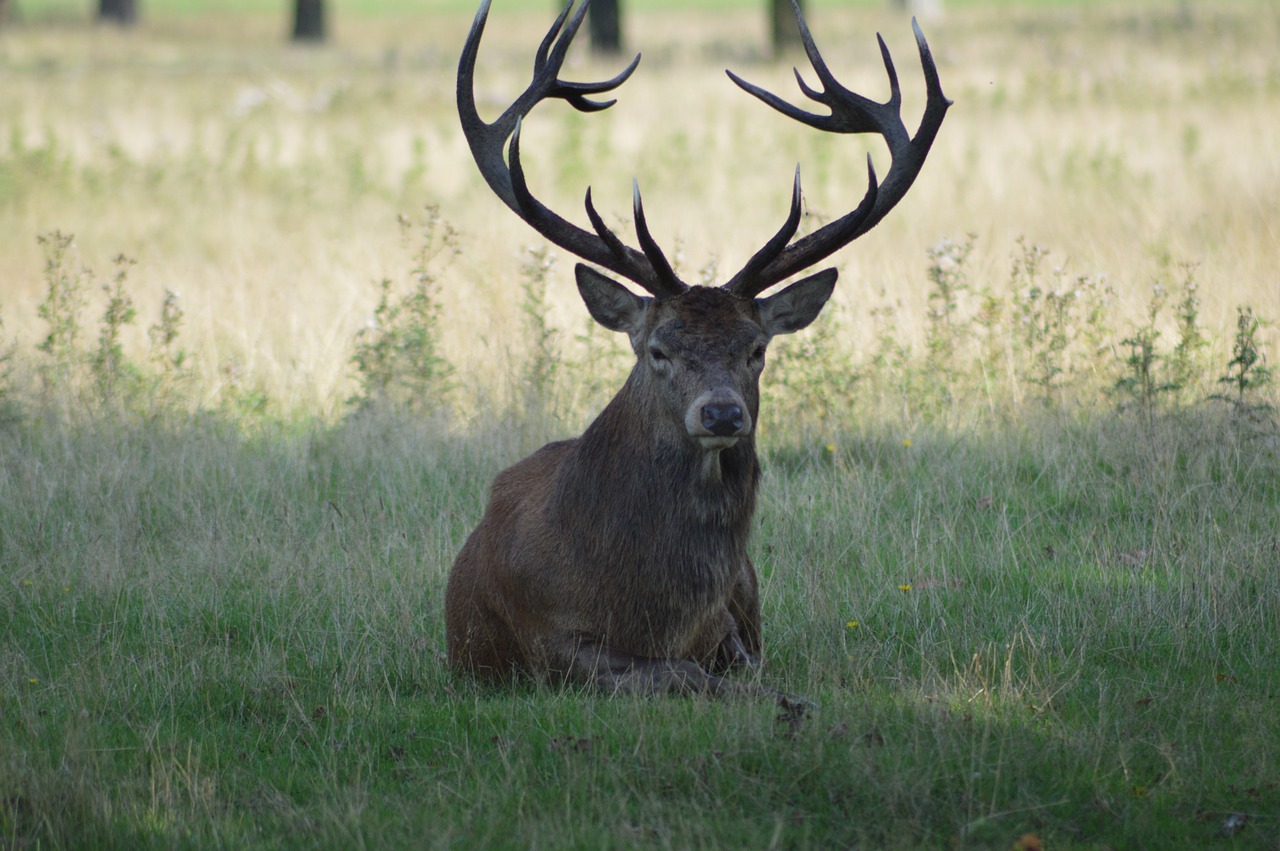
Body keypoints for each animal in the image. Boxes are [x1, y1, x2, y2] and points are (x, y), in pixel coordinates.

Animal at [445, 0, 947, 701]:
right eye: (658, 350)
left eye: (757, 349)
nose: (722, 413)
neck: (653, 611)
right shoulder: (546, 641)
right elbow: (678, 673)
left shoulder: (732, 622)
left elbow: (740, 664)